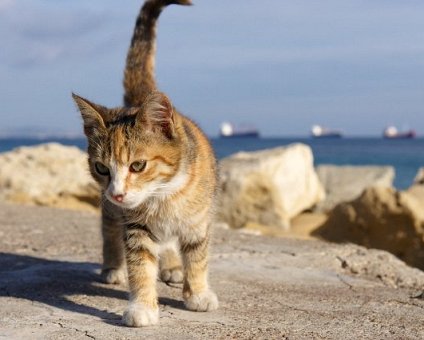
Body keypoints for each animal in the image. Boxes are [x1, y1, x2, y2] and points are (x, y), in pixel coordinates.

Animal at [72, 0, 219, 326]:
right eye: (102, 168)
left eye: (138, 166)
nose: (117, 193)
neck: (165, 195)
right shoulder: (135, 225)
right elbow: (140, 263)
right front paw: (142, 307)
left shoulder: (197, 220)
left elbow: (197, 256)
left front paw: (197, 293)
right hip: (111, 211)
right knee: (110, 230)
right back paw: (113, 268)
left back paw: (173, 266)